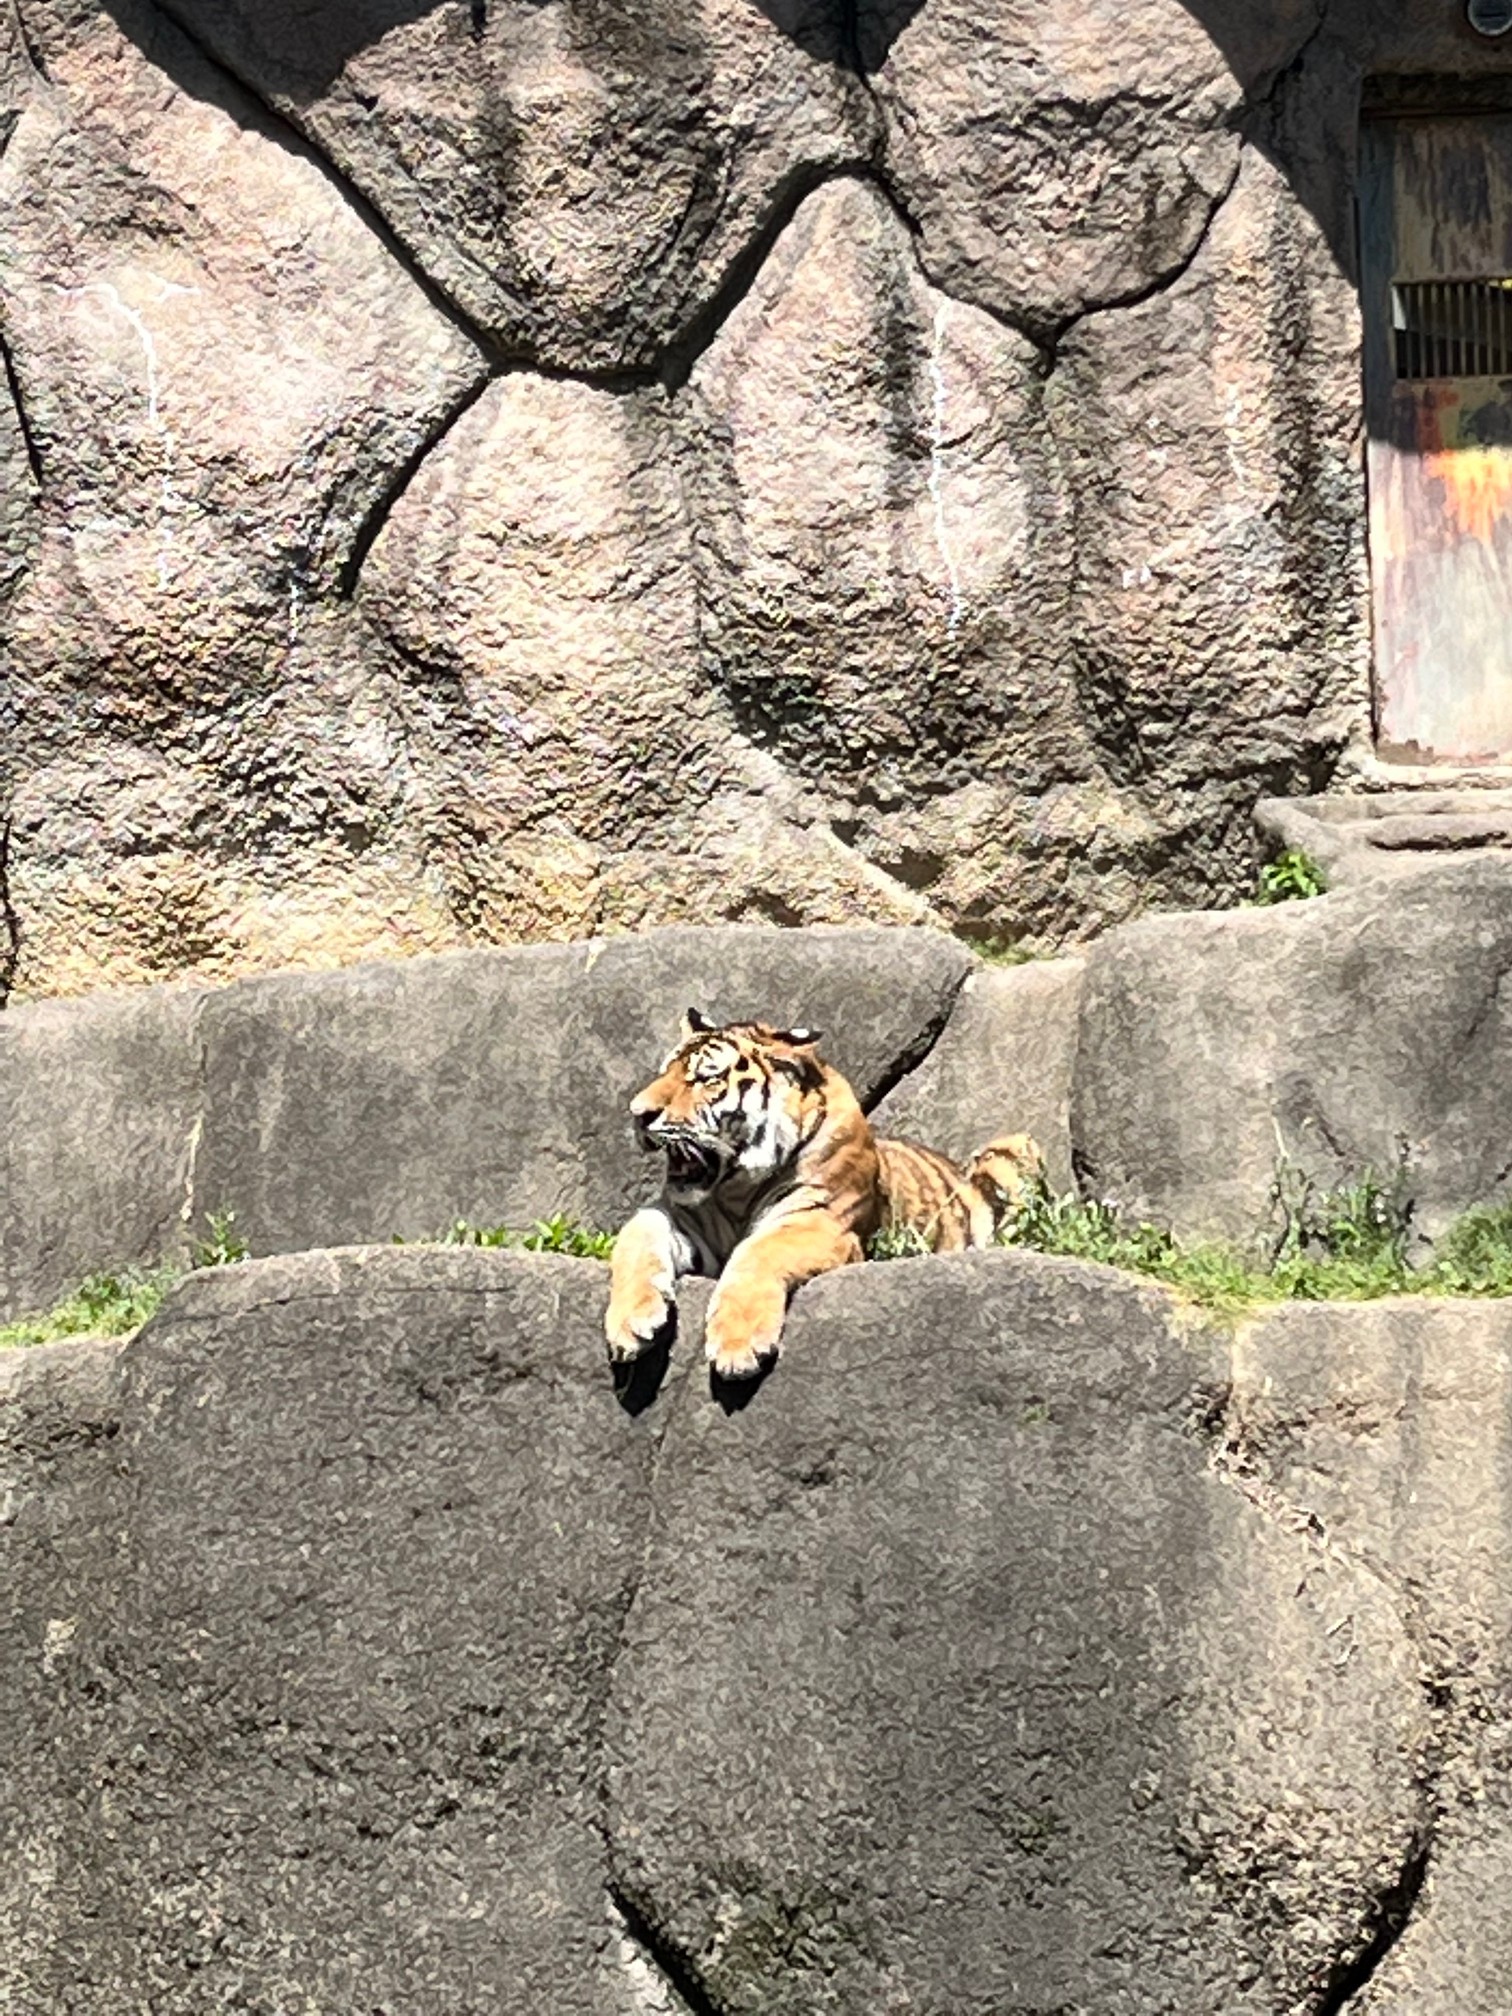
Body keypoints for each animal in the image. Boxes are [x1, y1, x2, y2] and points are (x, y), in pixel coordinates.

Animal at [604, 1008, 1040, 1387]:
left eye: (704, 1078)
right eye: (666, 1071)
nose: (637, 1113)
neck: (734, 1191)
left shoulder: (820, 1221)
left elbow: (756, 1252)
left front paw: (738, 1347)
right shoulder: (677, 1217)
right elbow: (636, 1237)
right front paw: (630, 1324)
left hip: (1013, 1151)